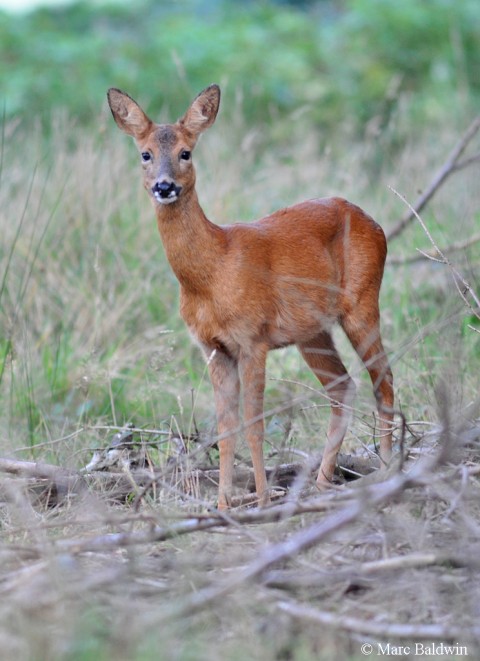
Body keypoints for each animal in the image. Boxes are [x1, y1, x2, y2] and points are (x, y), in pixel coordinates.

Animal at [108, 81, 394, 506]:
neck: (212, 273)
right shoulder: (214, 348)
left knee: (383, 379)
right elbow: (225, 429)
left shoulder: (253, 338)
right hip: (313, 331)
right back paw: (322, 482)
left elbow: (253, 425)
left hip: (362, 301)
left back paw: (390, 467)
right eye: (145, 153)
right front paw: (222, 504)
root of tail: (375, 224)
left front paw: (259, 501)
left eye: (185, 152)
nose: (164, 186)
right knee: (343, 387)